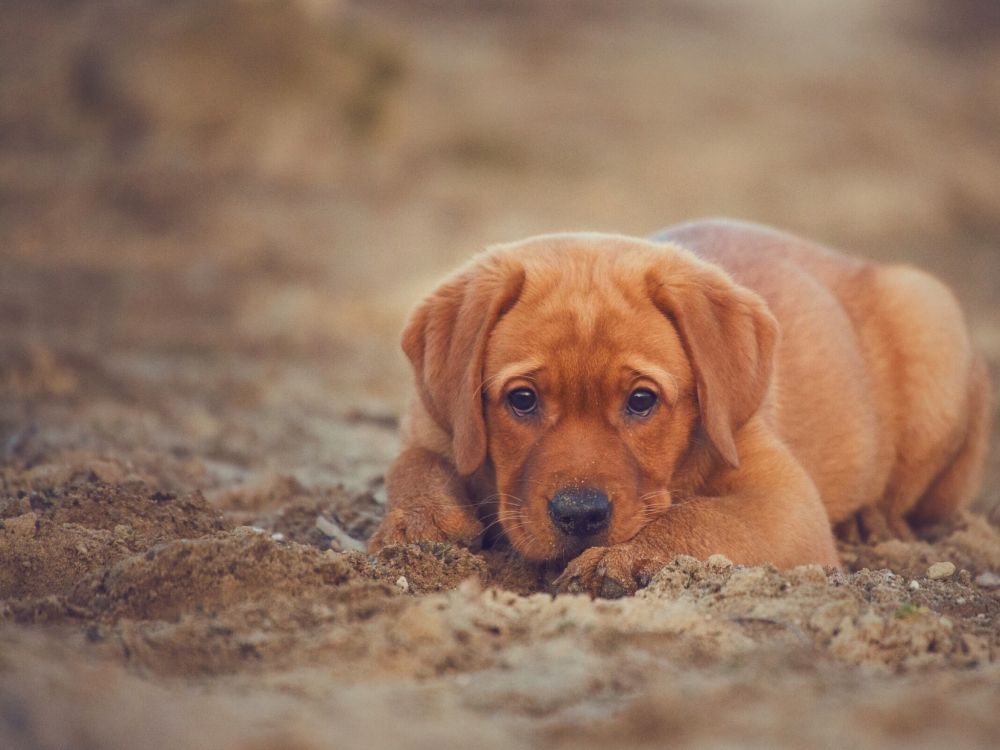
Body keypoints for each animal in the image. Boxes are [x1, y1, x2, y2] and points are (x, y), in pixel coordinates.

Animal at [370, 219, 992, 600]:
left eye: (641, 400)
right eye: (522, 400)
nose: (580, 516)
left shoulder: (785, 503)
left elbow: (698, 518)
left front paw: (620, 556)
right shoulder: (430, 424)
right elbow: (408, 463)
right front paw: (420, 521)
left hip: (929, 315)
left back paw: (872, 520)